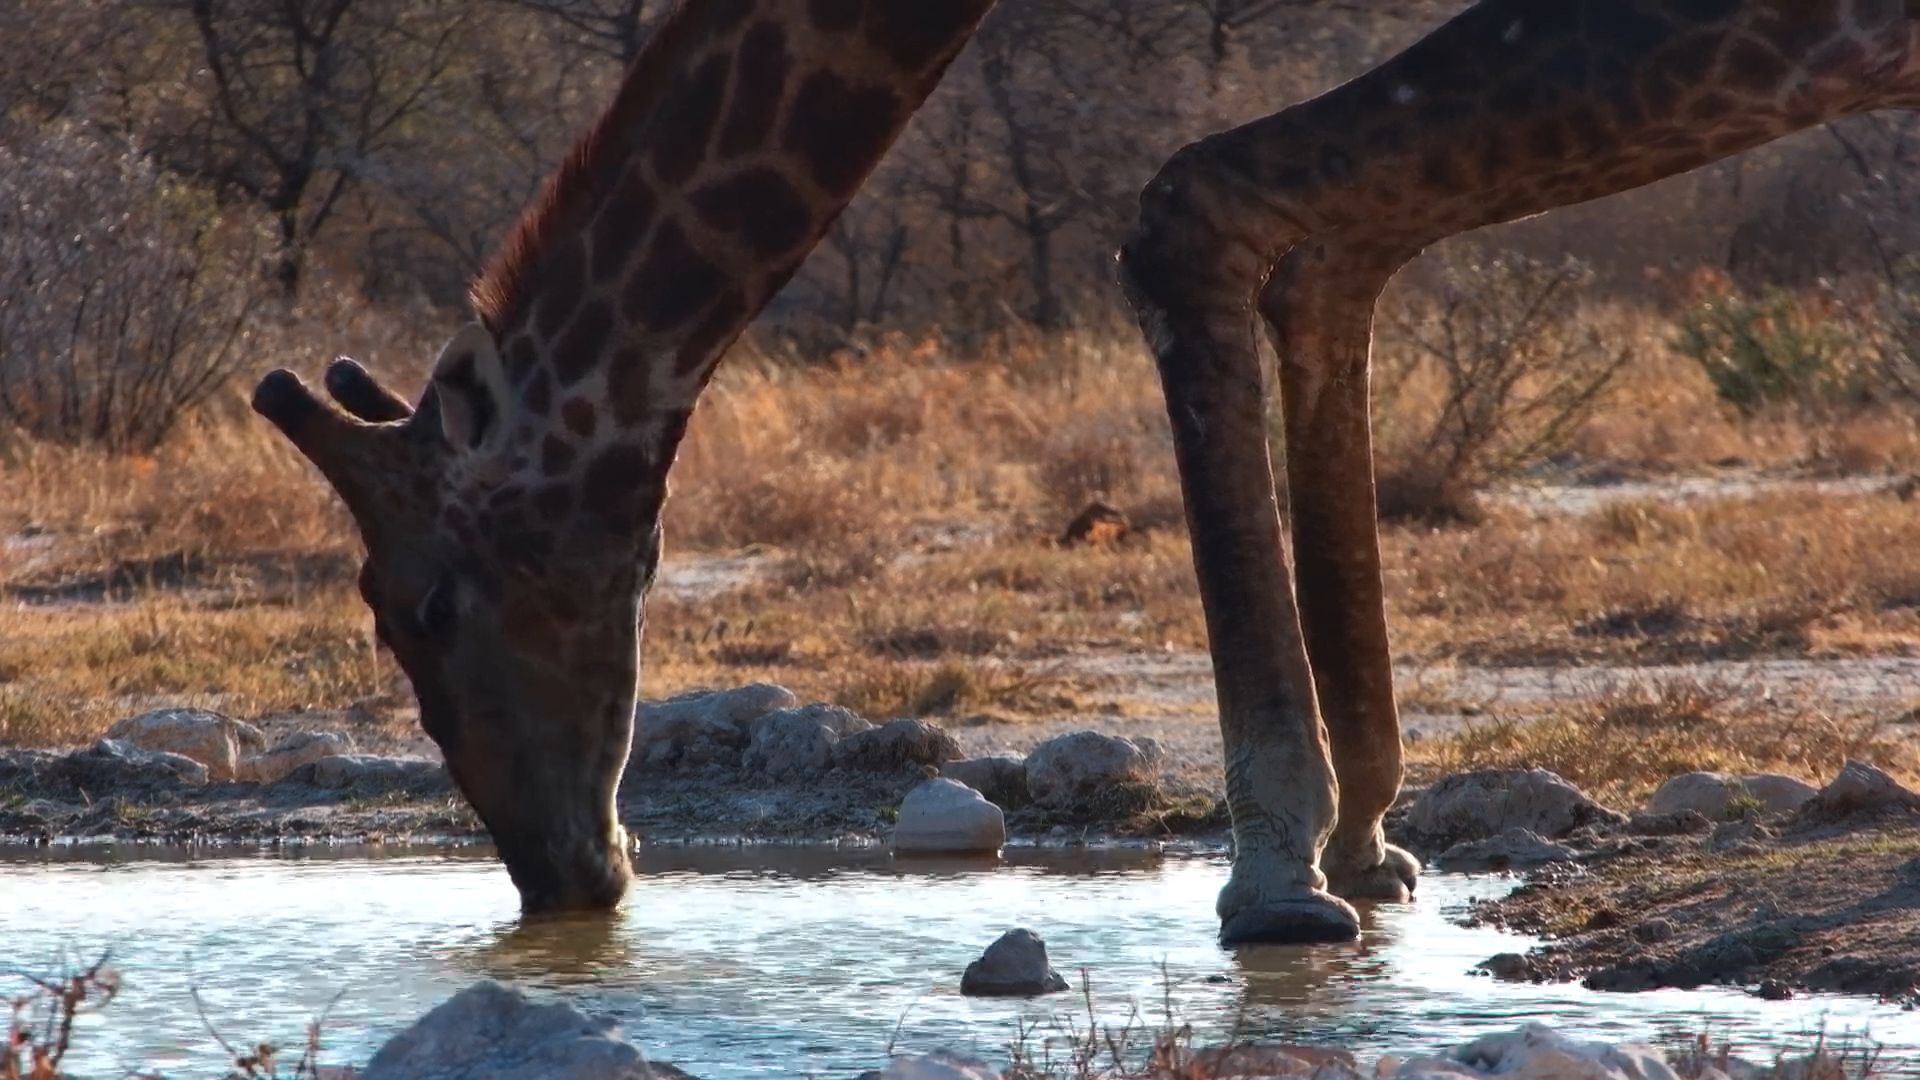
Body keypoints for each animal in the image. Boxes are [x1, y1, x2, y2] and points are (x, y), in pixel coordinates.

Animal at [253, 0, 1920, 938]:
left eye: (421, 604)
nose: (557, 874)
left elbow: (1199, 202)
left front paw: (1280, 872)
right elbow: (1328, 241)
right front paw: (1365, 841)